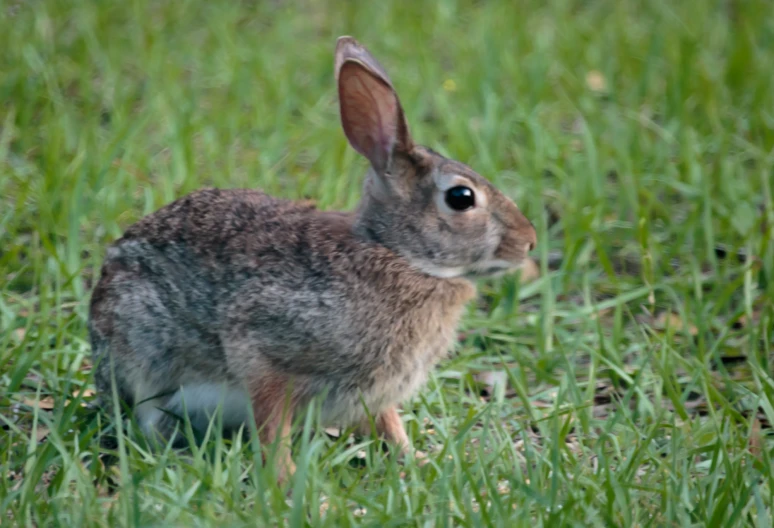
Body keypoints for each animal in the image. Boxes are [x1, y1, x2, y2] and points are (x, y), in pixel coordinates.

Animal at [88, 36, 540, 482]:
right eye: (461, 198)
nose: (529, 241)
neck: (398, 254)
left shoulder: (376, 393)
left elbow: (390, 423)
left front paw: (418, 460)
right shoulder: (262, 349)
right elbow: (272, 424)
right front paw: (289, 480)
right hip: (144, 354)